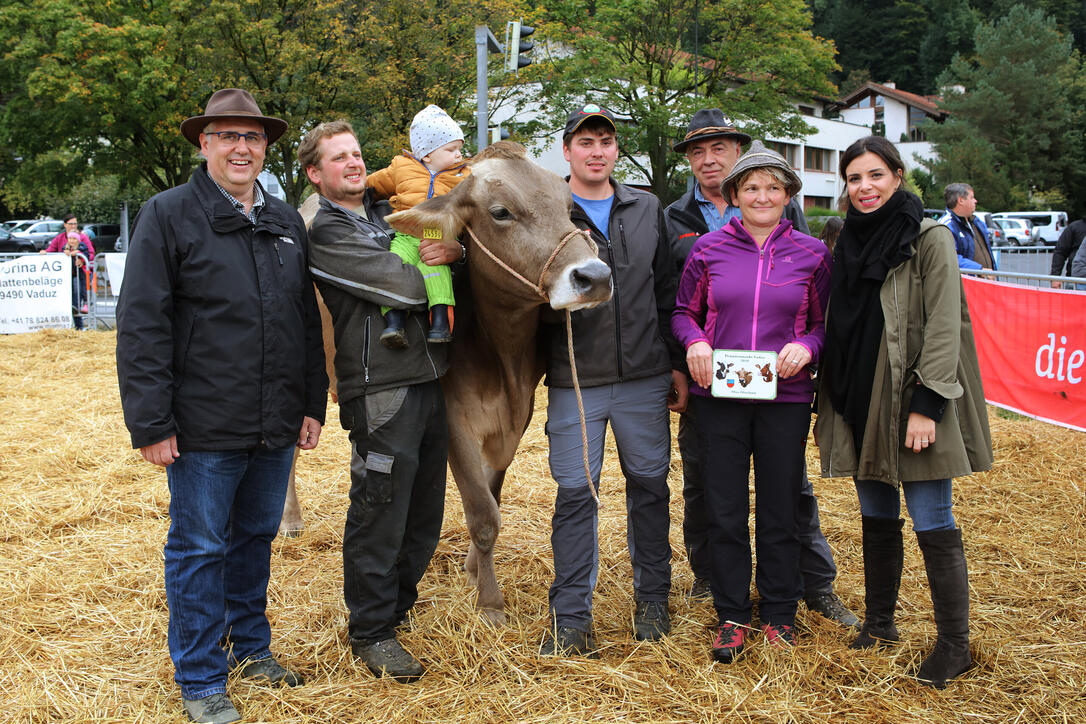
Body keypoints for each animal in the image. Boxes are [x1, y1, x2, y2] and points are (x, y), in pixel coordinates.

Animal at [284, 143, 616, 625]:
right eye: (500, 212)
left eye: (569, 207)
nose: (595, 277)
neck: (502, 355)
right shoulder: (455, 420)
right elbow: (483, 514)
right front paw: (491, 604)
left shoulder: (515, 418)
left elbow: (492, 493)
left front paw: (474, 570)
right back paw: (289, 520)